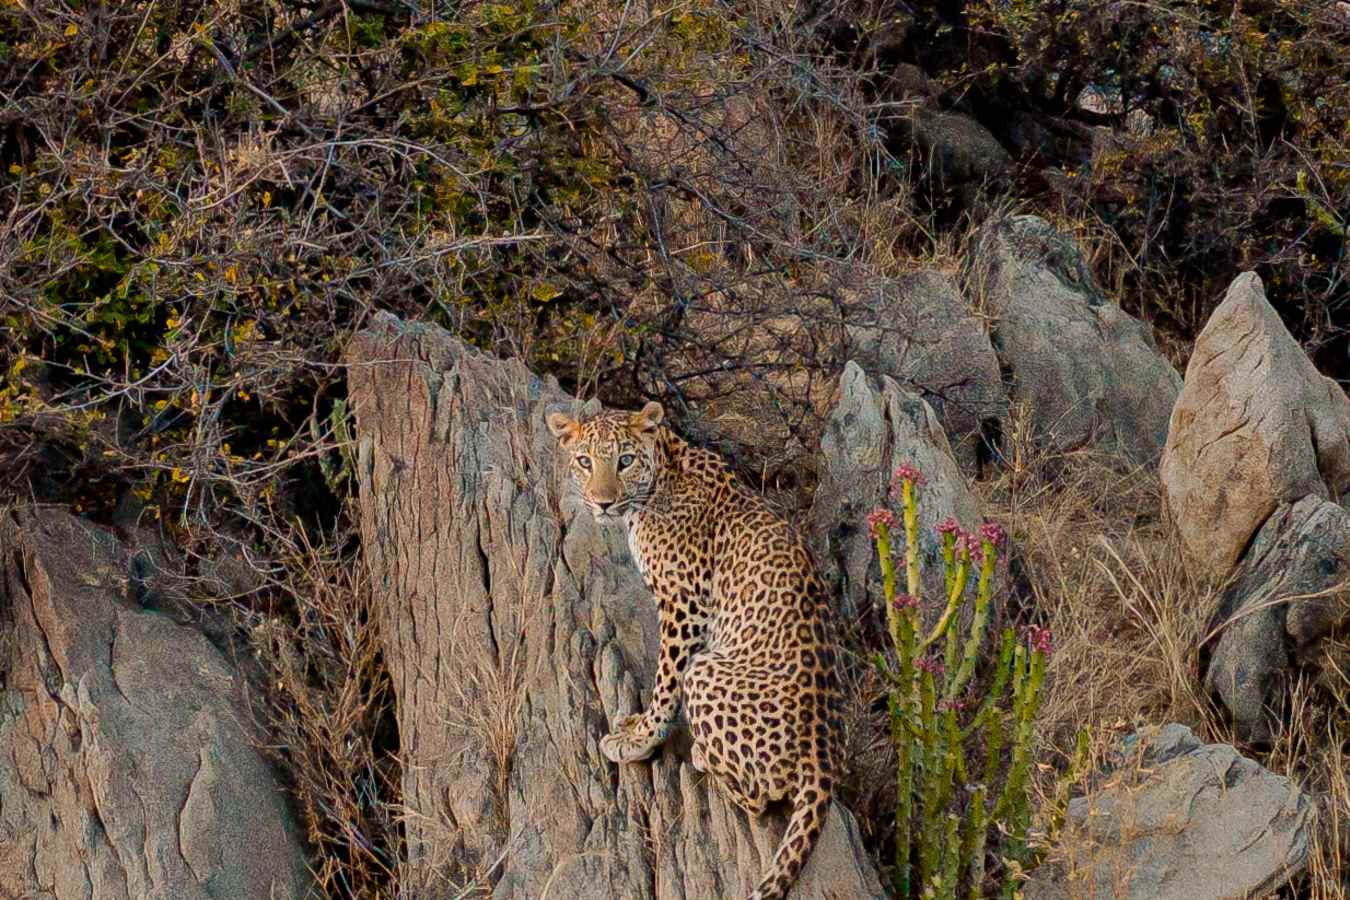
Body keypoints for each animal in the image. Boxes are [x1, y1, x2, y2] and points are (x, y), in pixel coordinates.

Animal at [547, 400, 844, 900]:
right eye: (585, 461)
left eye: (624, 460)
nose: (602, 502)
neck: (663, 472)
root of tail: (821, 750)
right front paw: (635, 728)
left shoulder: (685, 606)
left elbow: (665, 681)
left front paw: (640, 739)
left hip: (706, 670)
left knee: (760, 798)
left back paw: (704, 756)